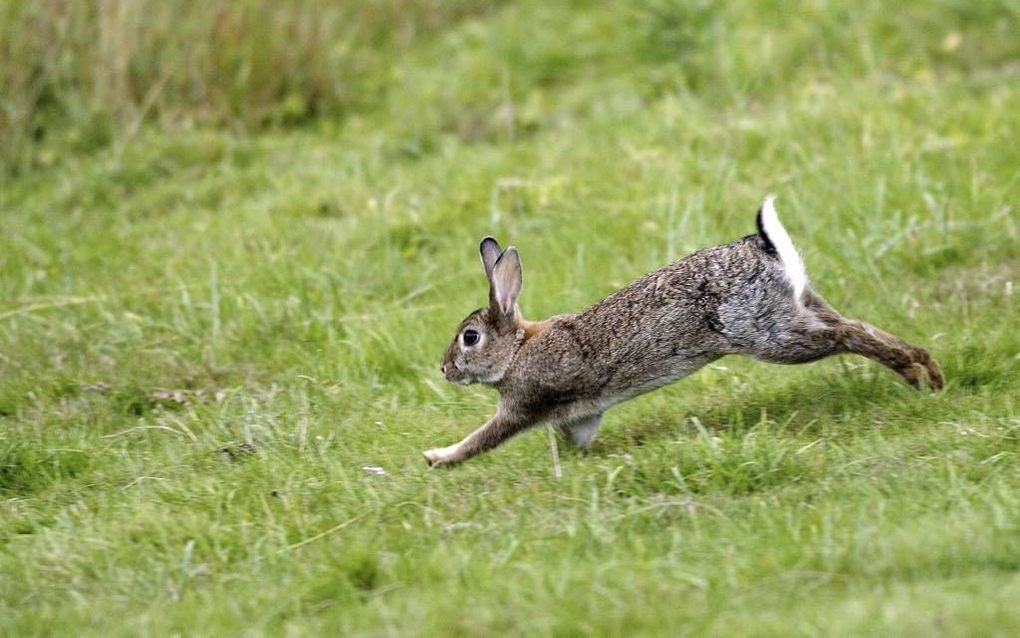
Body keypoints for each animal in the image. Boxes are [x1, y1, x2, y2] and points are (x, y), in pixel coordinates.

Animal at [422, 197, 938, 465]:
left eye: (470, 337)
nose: (444, 369)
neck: (517, 349)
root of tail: (763, 247)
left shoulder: (521, 404)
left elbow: (483, 438)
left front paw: (437, 457)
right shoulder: (580, 415)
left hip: (768, 335)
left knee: (846, 336)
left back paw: (915, 372)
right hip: (799, 307)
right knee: (854, 324)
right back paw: (928, 371)